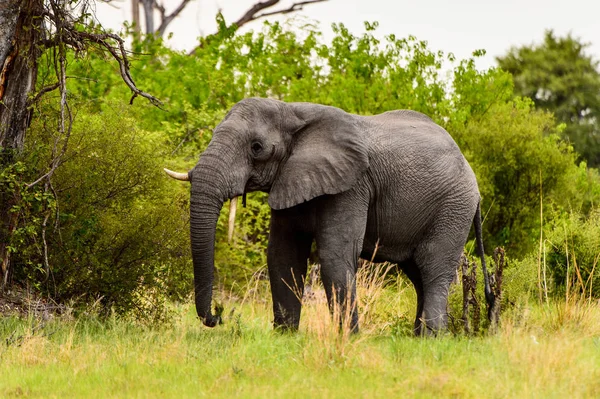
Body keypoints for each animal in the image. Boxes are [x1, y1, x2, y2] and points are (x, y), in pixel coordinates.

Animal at [164, 98, 492, 336]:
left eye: (256, 148)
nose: (217, 316)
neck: (292, 111)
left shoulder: (352, 184)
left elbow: (334, 255)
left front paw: (349, 339)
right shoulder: (292, 177)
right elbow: (283, 255)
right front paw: (285, 336)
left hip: (453, 207)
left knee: (433, 269)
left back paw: (430, 339)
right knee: (418, 274)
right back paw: (417, 337)